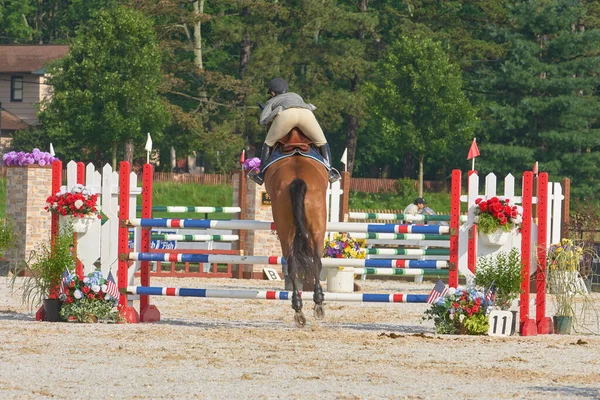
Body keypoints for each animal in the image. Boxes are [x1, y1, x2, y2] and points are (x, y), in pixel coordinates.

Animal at [262, 130, 328, 326]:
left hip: (288, 227)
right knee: (315, 259)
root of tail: (297, 179)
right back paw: (313, 304)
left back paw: (301, 307)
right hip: (317, 228)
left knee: (295, 262)